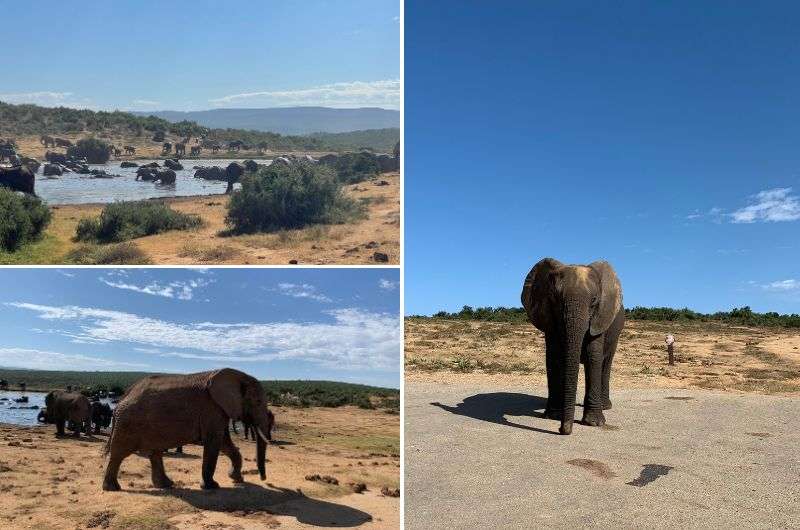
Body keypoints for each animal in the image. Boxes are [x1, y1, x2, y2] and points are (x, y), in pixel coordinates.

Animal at [101, 366, 276, 488]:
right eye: (258, 402)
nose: (264, 479)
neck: (239, 375)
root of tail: (122, 398)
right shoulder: (211, 408)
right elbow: (214, 443)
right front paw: (212, 486)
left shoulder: (219, 410)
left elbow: (225, 443)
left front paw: (237, 479)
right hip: (128, 423)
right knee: (118, 454)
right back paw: (112, 488)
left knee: (155, 453)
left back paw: (166, 485)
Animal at [520, 256, 628, 434]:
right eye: (555, 299)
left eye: (594, 301)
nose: (561, 430)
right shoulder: (549, 319)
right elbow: (554, 357)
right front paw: (553, 416)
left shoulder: (600, 318)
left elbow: (593, 357)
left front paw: (594, 423)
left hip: (615, 331)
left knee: (606, 363)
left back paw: (605, 406)